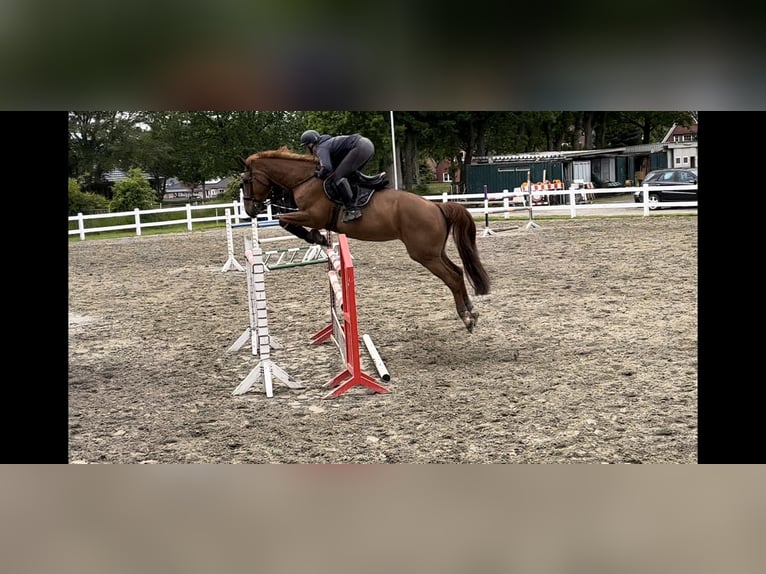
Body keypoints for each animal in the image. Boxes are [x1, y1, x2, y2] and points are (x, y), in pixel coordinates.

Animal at [240, 147, 492, 332]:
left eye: (245, 182)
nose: (251, 211)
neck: (305, 179)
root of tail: (436, 207)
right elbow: (287, 221)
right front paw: (318, 237)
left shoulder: (312, 215)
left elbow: (284, 220)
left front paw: (316, 236)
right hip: (434, 252)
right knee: (458, 272)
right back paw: (471, 311)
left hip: (425, 255)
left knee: (452, 277)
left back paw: (467, 318)